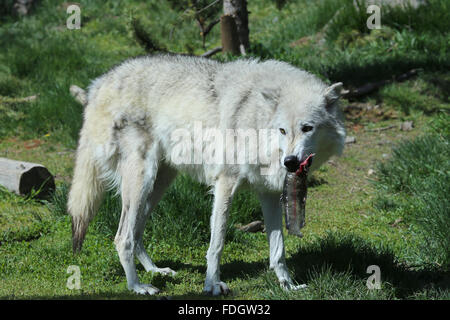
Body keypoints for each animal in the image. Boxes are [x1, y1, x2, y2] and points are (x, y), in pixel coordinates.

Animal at [68, 54, 346, 296]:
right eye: (283, 130)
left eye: (307, 128)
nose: (289, 162)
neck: (257, 120)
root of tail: (97, 85)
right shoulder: (225, 184)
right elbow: (217, 243)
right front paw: (212, 284)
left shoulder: (269, 193)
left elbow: (278, 249)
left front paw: (287, 285)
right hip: (142, 182)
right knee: (122, 237)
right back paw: (137, 286)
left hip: (158, 185)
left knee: (135, 234)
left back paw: (156, 270)